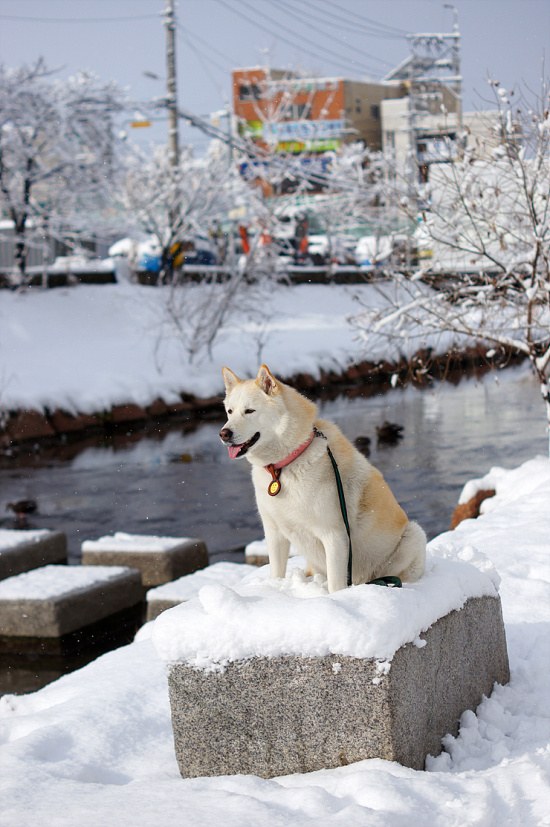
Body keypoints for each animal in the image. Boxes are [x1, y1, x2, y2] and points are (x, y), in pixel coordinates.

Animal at [220, 366, 426, 592]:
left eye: (249, 411)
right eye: (230, 412)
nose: (224, 433)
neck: (285, 465)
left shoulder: (334, 537)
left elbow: (336, 585)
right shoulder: (274, 533)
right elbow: (276, 572)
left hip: (413, 535)